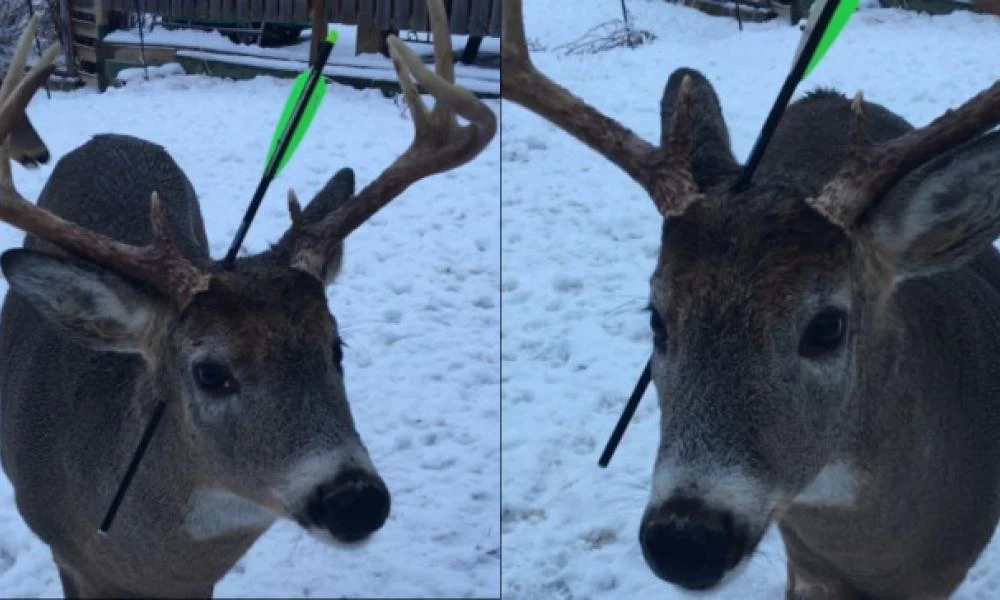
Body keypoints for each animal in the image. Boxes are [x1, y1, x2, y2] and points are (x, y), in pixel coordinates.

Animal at [504, 1, 1000, 600]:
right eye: (657, 320)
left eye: (828, 326)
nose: (685, 540)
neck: (872, 558)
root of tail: (826, 94)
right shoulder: (805, 563)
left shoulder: (940, 574)